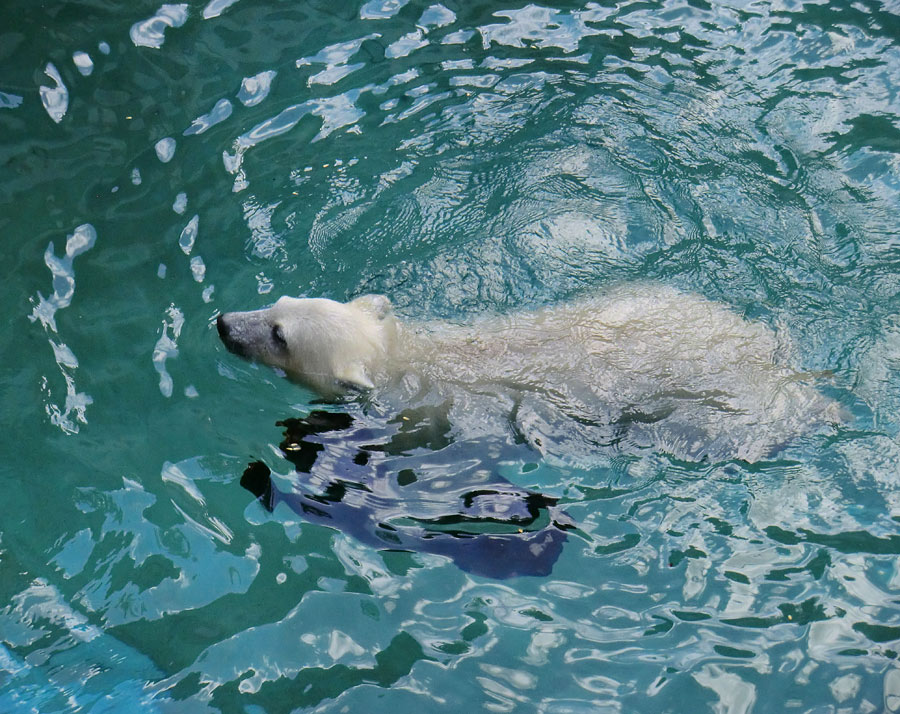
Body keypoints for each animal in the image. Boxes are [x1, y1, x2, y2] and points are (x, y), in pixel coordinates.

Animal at [216, 284, 836, 462]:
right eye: (277, 303)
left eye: (279, 336)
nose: (222, 322)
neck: (409, 357)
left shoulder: (431, 409)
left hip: (725, 403)